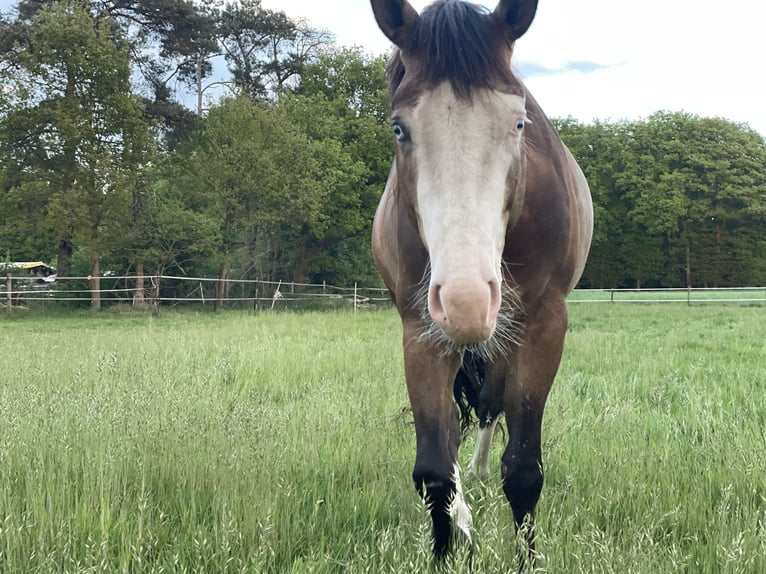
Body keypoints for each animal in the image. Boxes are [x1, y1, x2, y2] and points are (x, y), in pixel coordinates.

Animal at [369, 0, 594, 564]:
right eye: (399, 129)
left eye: (518, 122)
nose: (466, 300)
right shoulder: (420, 330)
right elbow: (432, 469)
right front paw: (445, 551)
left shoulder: (542, 327)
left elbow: (525, 470)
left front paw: (527, 560)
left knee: (491, 406)